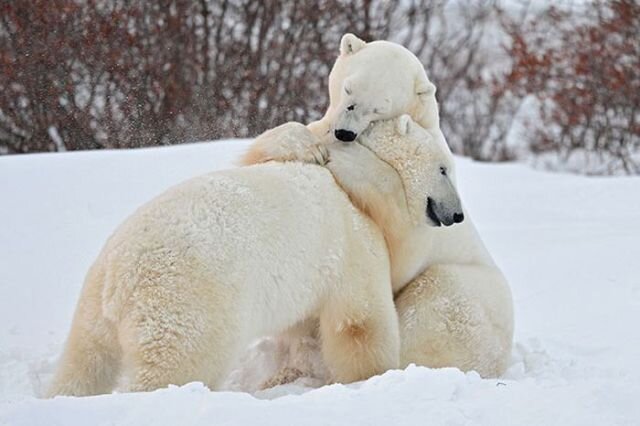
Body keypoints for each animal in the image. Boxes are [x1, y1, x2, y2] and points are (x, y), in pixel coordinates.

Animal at [47, 115, 462, 396]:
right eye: (444, 169)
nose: (457, 214)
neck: (355, 191)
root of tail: (121, 276)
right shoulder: (354, 244)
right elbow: (360, 322)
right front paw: (370, 377)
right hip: (188, 302)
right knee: (176, 364)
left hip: (92, 306)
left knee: (85, 362)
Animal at [241, 34, 516, 380]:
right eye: (348, 89)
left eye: (379, 108)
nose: (344, 132)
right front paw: (308, 145)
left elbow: (399, 242)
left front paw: (340, 156)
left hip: (468, 295)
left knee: (433, 304)